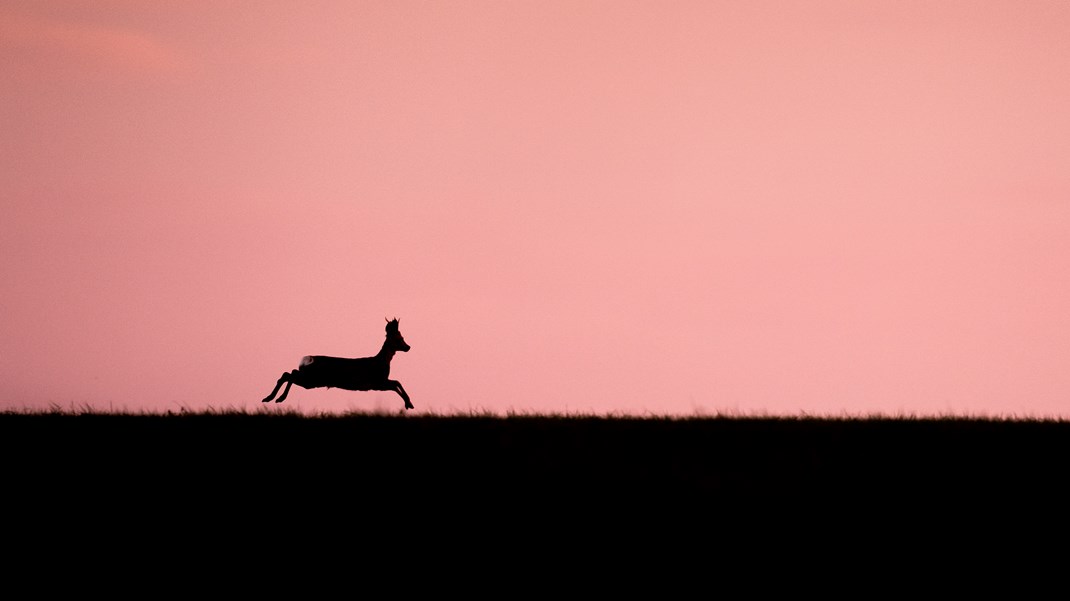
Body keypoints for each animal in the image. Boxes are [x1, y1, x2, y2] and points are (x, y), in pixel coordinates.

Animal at [262, 318, 413, 406]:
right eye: (399, 339)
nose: (408, 347)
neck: (381, 362)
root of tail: (308, 359)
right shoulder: (376, 382)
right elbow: (396, 383)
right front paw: (408, 403)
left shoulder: (378, 383)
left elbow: (396, 383)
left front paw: (409, 403)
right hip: (313, 380)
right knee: (290, 375)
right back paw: (278, 398)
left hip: (311, 378)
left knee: (288, 373)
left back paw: (270, 398)